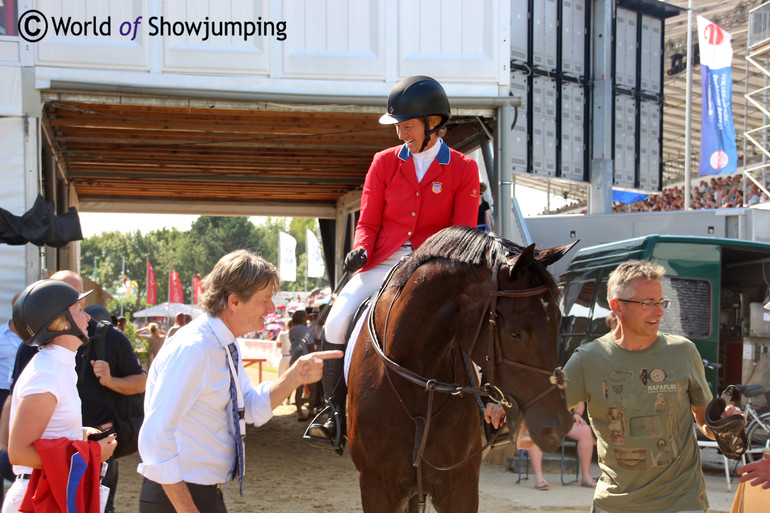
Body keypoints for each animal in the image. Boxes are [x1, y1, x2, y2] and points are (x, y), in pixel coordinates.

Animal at [344, 226, 572, 510]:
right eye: (515, 333)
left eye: (559, 320)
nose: (558, 426)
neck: (418, 386)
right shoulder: (377, 487)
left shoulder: (459, 485)